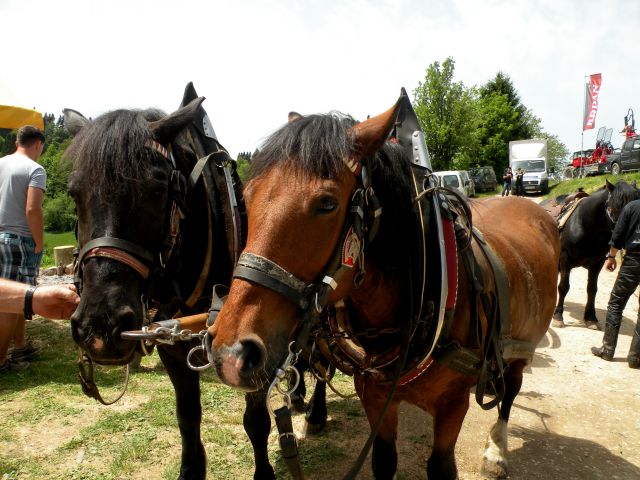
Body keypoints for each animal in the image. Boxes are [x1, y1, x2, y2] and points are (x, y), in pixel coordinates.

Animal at [64, 84, 328, 478]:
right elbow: (187, 417)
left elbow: (256, 421)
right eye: (74, 192)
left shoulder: (251, 339)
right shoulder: (171, 342)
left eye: (157, 189)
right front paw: (191, 469)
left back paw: (317, 411)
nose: (100, 327)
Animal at [208, 99, 556, 478]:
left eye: (327, 203)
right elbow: (384, 460)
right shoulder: (375, 396)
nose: (232, 353)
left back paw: (497, 450)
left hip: (522, 348)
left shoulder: (453, 405)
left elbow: (441, 466)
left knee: (510, 391)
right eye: (246, 196)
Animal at [552, 178, 640, 328]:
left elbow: (592, 289)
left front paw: (591, 318)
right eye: (616, 206)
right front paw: (558, 316)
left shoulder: (597, 264)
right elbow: (563, 287)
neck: (586, 226)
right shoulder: (565, 260)